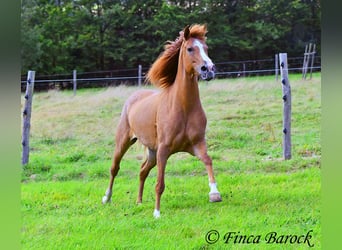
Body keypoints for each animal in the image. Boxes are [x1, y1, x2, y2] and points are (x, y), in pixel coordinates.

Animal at [101, 24, 222, 218]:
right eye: (190, 48)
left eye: (206, 48)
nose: (208, 69)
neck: (183, 107)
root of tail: (133, 98)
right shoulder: (164, 150)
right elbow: (160, 184)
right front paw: (157, 213)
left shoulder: (197, 144)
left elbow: (208, 160)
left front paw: (214, 193)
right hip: (124, 142)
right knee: (114, 168)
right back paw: (107, 198)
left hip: (152, 152)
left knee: (142, 171)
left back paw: (139, 202)